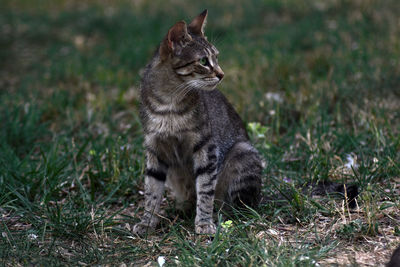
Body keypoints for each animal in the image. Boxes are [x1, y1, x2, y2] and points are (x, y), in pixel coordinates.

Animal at [133, 9, 264, 237]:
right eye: (203, 61)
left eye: (216, 57)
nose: (221, 74)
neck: (169, 103)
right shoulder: (155, 148)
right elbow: (151, 191)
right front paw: (147, 222)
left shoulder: (206, 148)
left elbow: (205, 190)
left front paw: (203, 223)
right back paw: (181, 208)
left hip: (242, 152)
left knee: (237, 204)